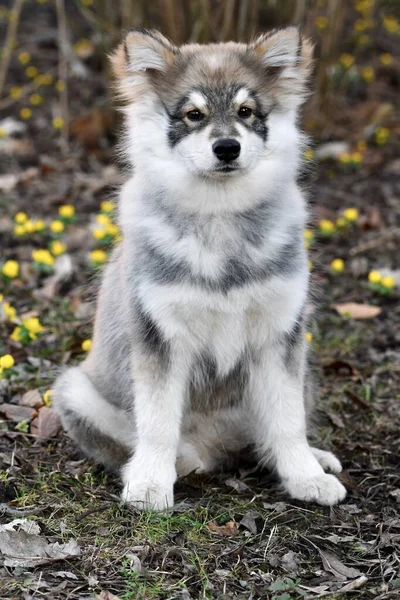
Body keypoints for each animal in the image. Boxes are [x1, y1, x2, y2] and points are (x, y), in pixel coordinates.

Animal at [53, 25, 346, 508]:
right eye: (193, 114)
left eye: (246, 111)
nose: (227, 148)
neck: (219, 215)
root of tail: (220, 448)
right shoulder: (160, 337)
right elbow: (157, 423)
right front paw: (150, 483)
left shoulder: (279, 333)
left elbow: (287, 420)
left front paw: (305, 475)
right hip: (75, 391)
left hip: (303, 374)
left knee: (268, 435)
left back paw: (312, 458)